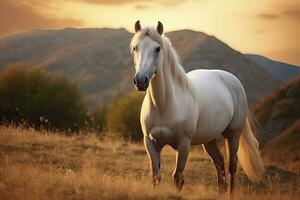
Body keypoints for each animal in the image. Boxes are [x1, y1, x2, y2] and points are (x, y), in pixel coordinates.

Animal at [130, 20, 264, 194]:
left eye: (157, 49)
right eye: (135, 47)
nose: (141, 80)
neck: (164, 106)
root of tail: (233, 79)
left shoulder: (183, 145)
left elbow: (178, 178)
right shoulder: (150, 143)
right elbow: (155, 177)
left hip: (233, 134)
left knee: (231, 166)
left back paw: (230, 193)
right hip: (209, 139)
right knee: (219, 163)